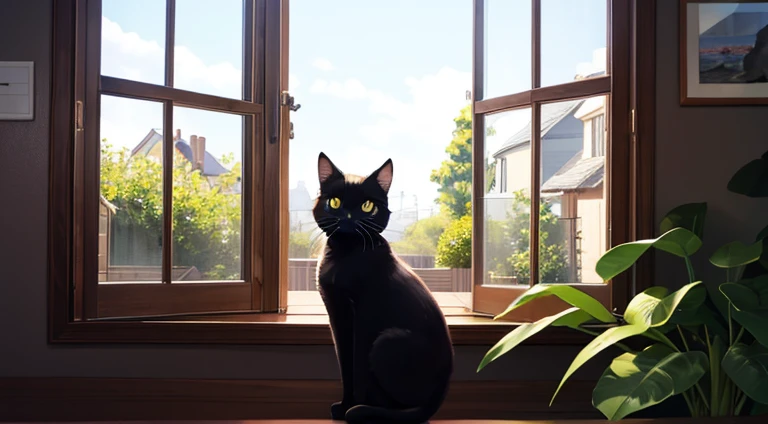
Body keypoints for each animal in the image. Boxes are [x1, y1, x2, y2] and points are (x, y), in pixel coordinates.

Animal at [314, 153, 452, 424]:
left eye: (367, 206)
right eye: (334, 202)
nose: (348, 217)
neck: (345, 256)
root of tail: (440, 397)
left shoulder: (363, 316)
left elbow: (356, 369)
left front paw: (350, 408)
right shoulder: (337, 314)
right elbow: (345, 365)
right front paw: (343, 405)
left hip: (386, 341)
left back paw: (369, 410)